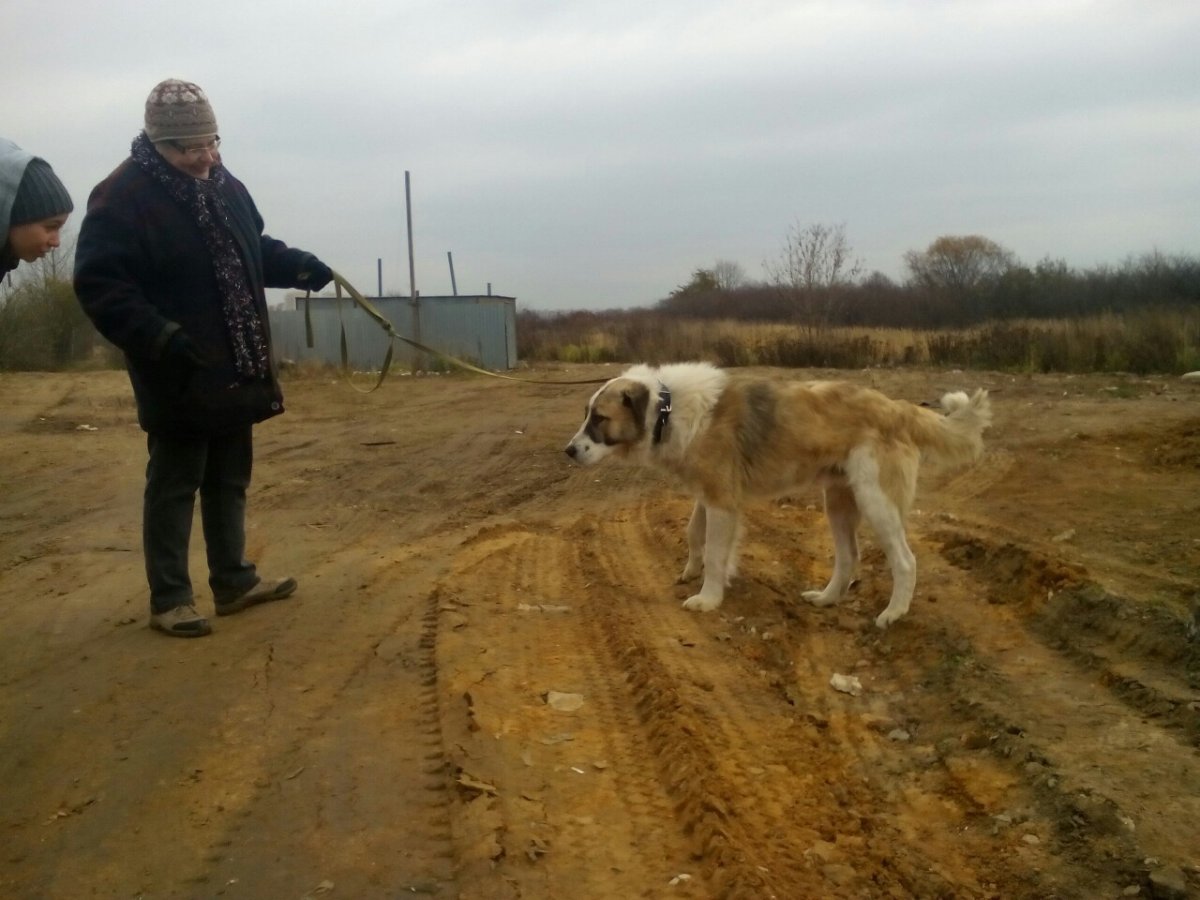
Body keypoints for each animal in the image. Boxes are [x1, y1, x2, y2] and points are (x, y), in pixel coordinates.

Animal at [564, 362, 993, 628]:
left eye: (599, 419)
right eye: (586, 415)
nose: (568, 451)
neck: (667, 409)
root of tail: (898, 408)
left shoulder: (722, 501)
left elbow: (716, 553)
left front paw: (709, 597)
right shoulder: (707, 494)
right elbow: (693, 534)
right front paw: (691, 571)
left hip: (877, 502)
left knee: (905, 561)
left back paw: (894, 612)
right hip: (838, 501)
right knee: (849, 557)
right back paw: (827, 599)